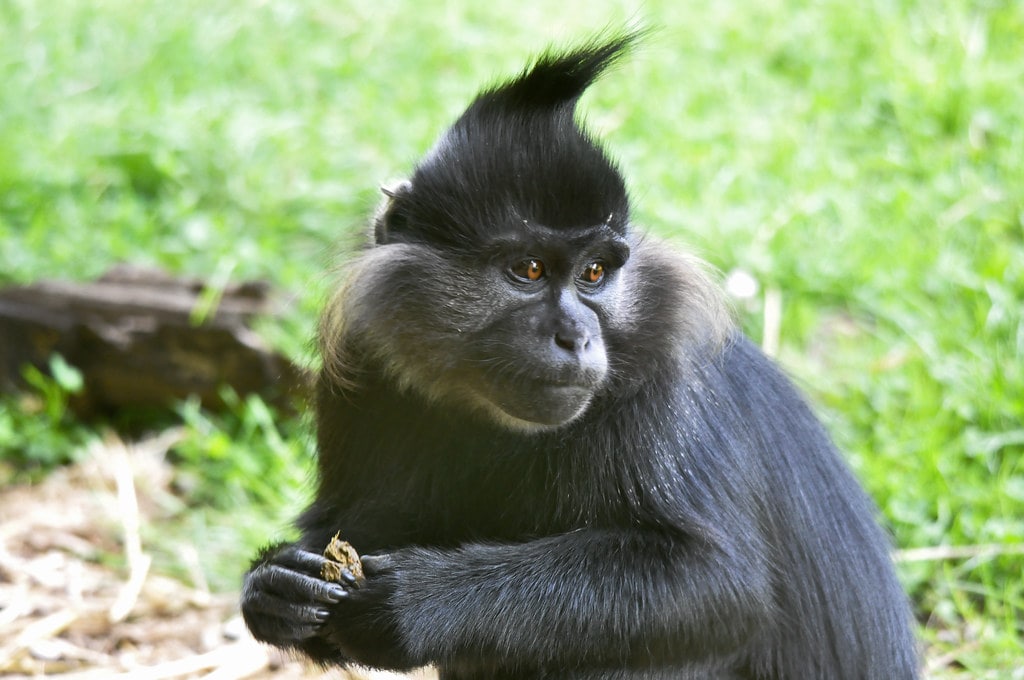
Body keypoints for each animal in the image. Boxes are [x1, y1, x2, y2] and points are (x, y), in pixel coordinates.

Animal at [239, 31, 921, 680]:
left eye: (594, 272)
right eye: (529, 269)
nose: (576, 335)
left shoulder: (663, 380)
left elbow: (718, 584)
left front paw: (417, 603)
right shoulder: (364, 360)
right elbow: (346, 523)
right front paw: (276, 587)